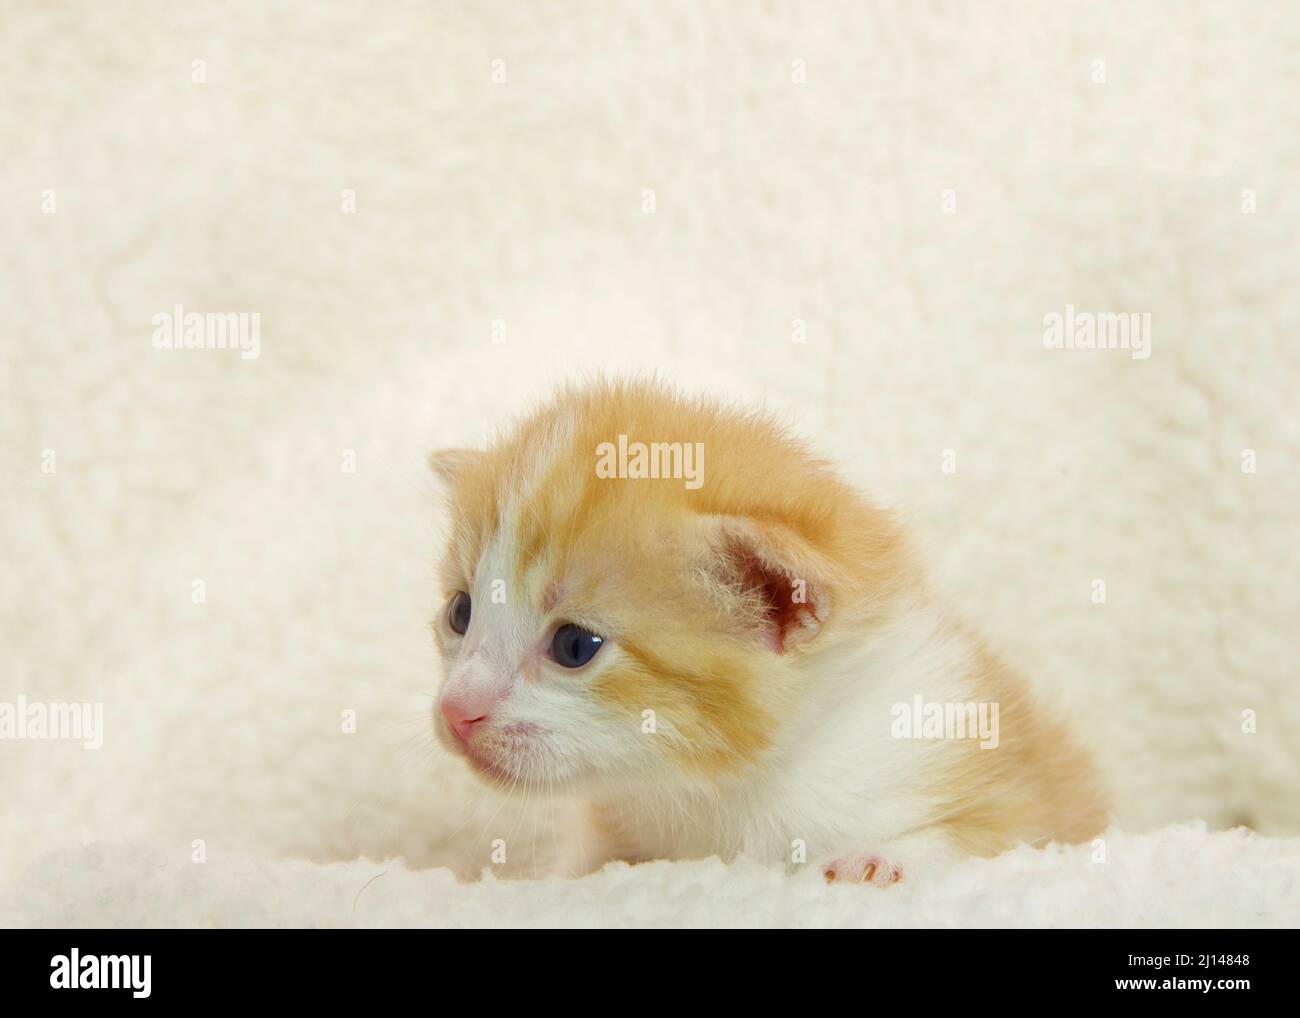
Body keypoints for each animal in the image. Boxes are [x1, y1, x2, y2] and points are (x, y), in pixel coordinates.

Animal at [428, 379, 1107, 884]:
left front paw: (879, 861)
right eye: (461, 612)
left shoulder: (1014, 791)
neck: (725, 795)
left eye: (575, 646)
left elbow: (990, 841)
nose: (456, 710)